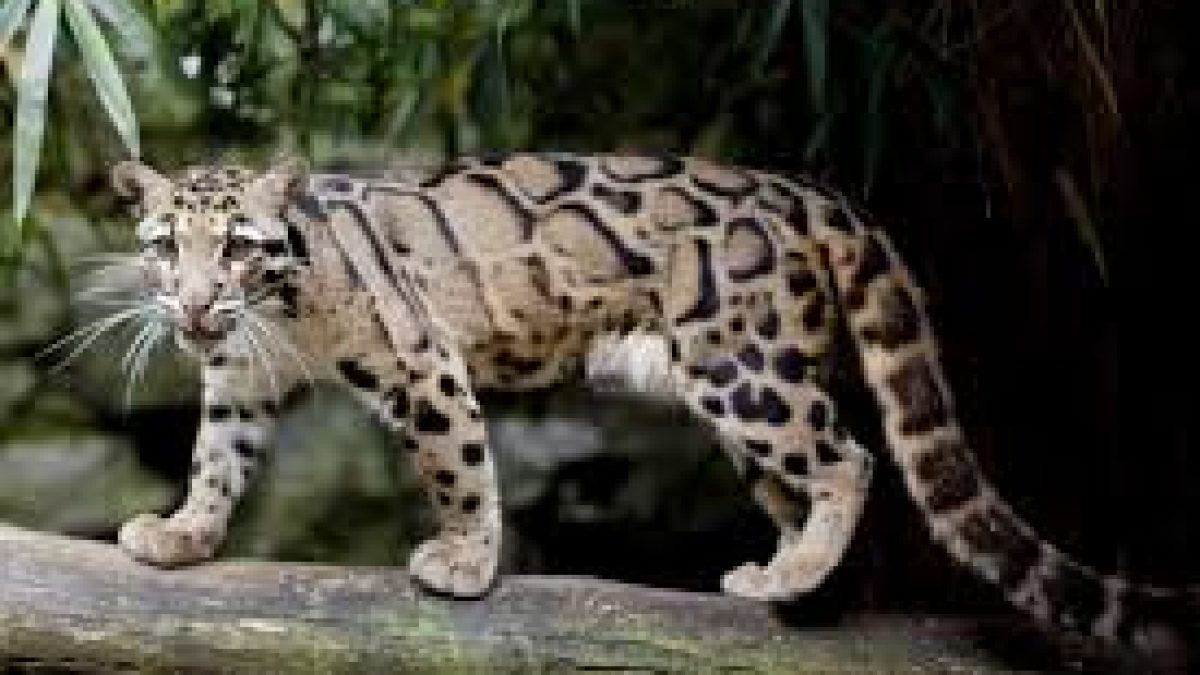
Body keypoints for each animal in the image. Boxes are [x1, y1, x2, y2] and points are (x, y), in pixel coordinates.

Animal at [93, 153, 1192, 663]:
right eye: (164, 248)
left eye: (238, 246)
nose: (193, 305)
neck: (274, 313)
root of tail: (808, 194)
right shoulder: (239, 384)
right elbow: (215, 461)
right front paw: (183, 534)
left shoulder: (421, 362)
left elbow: (460, 469)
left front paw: (466, 564)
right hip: (736, 386)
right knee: (810, 476)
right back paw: (791, 575)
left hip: (744, 367)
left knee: (852, 456)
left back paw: (799, 572)